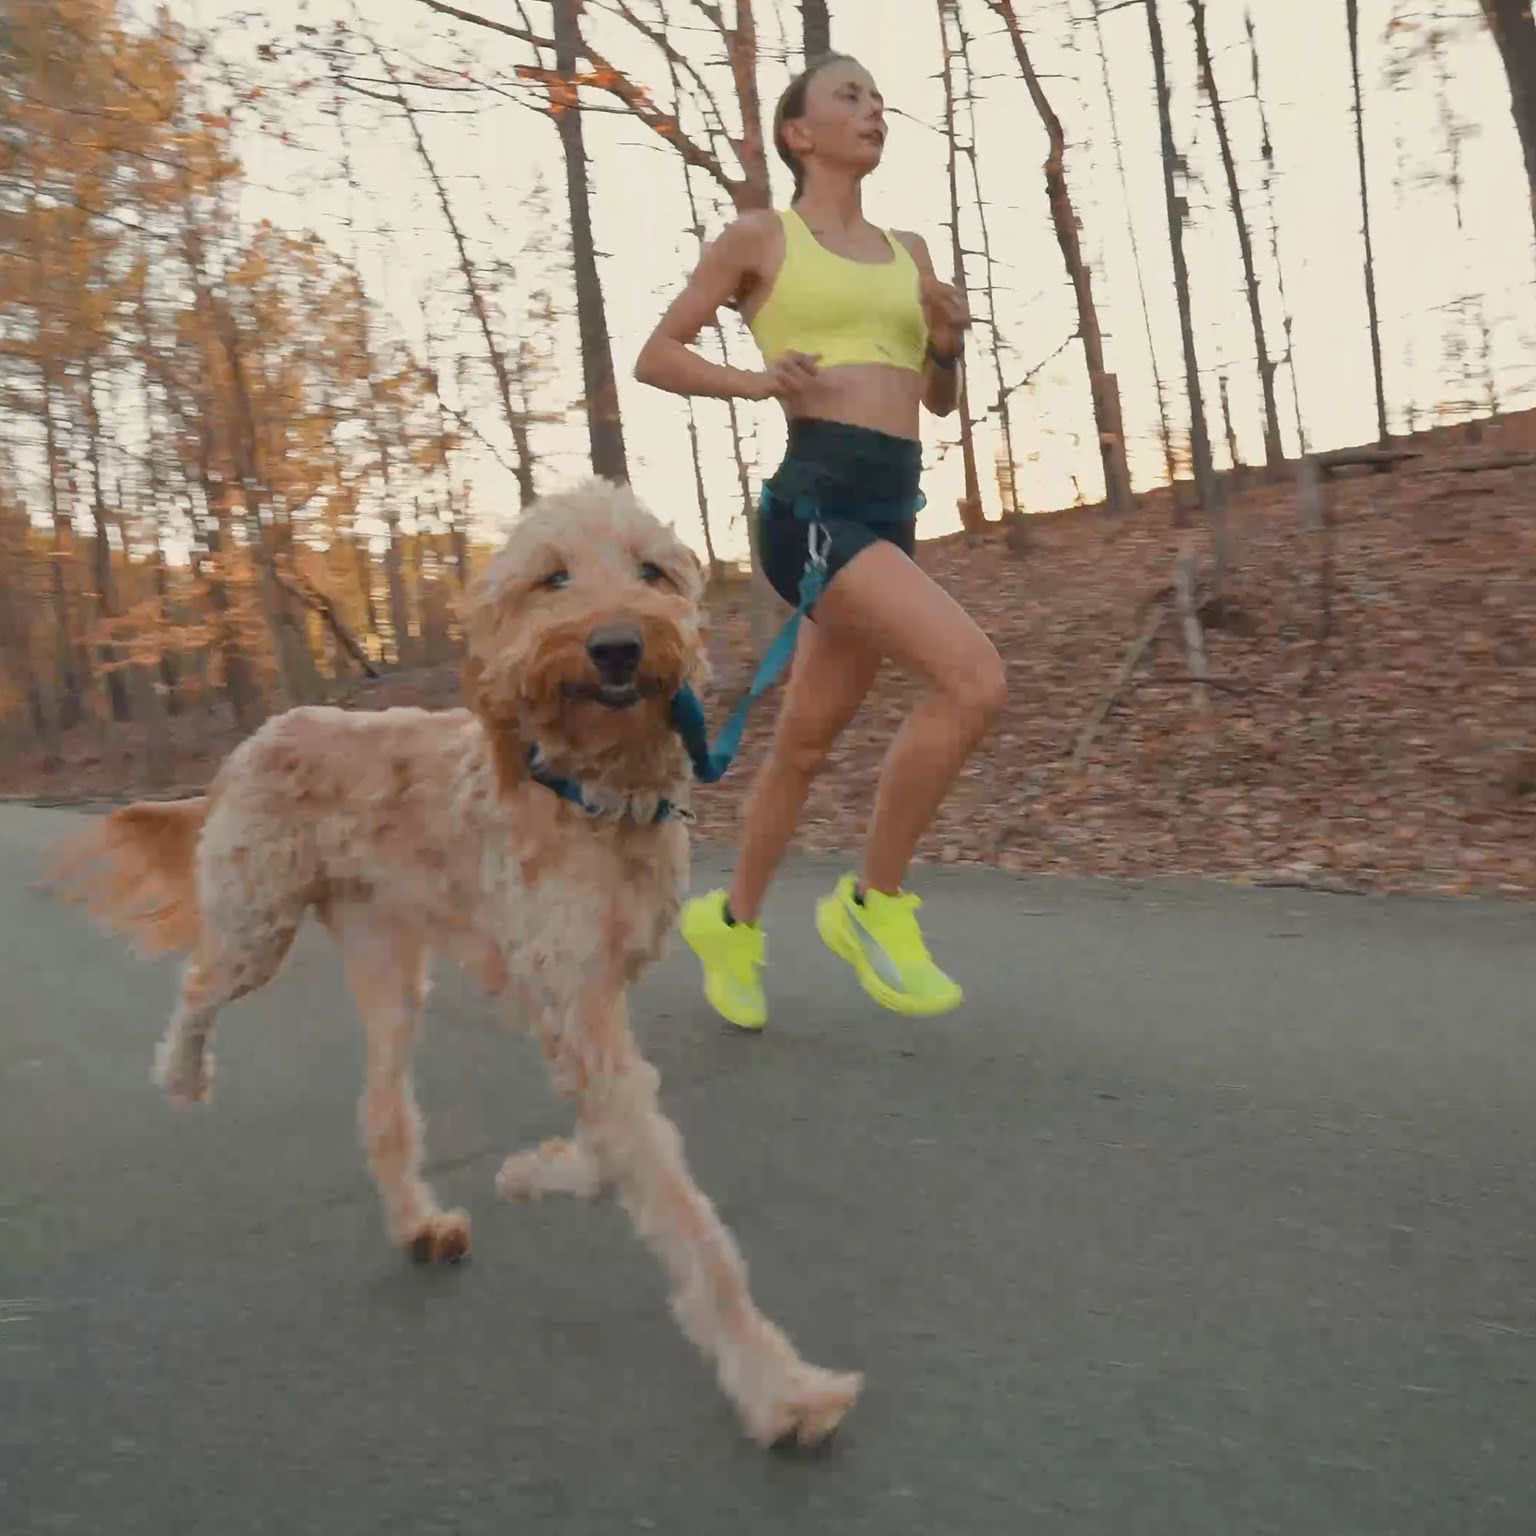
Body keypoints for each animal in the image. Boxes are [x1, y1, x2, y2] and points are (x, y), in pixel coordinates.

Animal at [50, 478, 861, 1449]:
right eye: (553, 578)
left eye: (652, 573)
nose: (617, 645)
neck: (592, 792)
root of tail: (249, 743)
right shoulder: (574, 1004)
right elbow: (684, 1217)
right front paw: (780, 1387)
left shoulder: (592, 1005)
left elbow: (617, 1145)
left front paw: (535, 1170)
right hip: (256, 925)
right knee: (199, 983)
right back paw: (180, 1073)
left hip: (391, 972)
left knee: (381, 1110)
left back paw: (417, 1223)